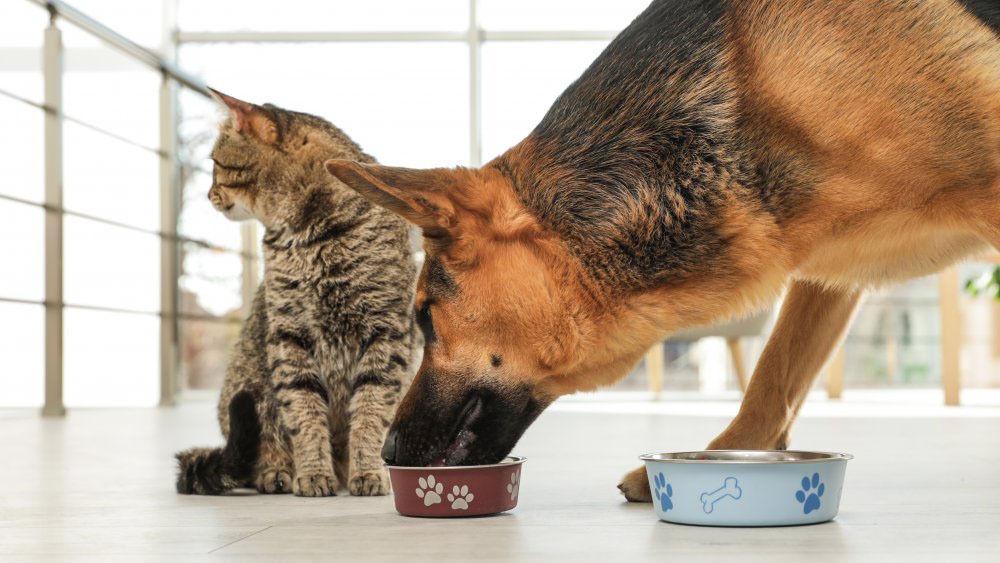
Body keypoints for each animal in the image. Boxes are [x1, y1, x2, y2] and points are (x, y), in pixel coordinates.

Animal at [174, 91, 416, 498]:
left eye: (216, 163)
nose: (208, 195)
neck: (307, 238)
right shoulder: (289, 335)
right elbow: (303, 412)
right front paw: (313, 472)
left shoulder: (387, 332)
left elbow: (371, 411)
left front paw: (368, 471)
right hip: (247, 389)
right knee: (260, 448)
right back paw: (278, 472)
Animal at [324, 0, 996, 502]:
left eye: (425, 318)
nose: (387, 452)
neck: (752, 87)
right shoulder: (824, 265)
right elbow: (773, 377)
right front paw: (725, 458)